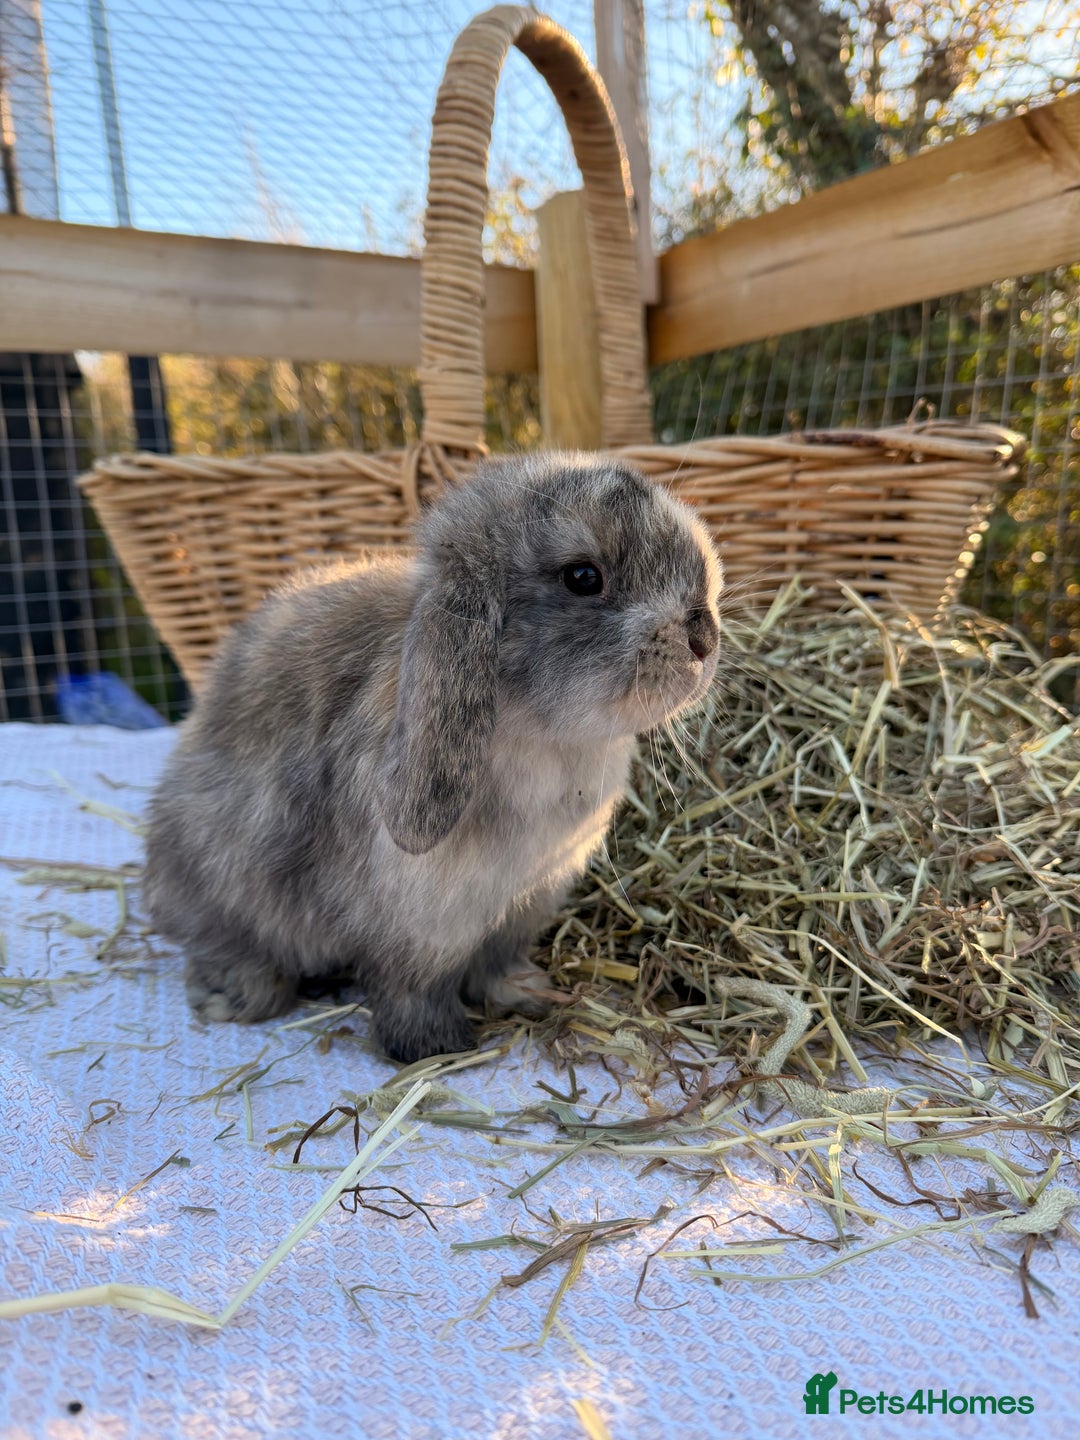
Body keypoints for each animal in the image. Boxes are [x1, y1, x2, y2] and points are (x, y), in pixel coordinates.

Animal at [143, 453, 722, 1063]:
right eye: (583, 577)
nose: (705, 637)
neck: (543, 735)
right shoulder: (422, 926)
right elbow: (411, 988)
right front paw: (435, 1047)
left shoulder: (523, 907)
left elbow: (497, 966)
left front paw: (528, 993)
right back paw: (234, 995)